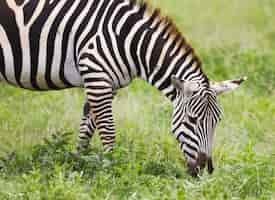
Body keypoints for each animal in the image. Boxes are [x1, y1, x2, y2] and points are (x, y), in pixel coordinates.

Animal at [0, 0, 247, 176]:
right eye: (192, 120)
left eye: (217, 121)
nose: (206, 170)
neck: (129, 43)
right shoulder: (97, 76)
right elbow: (108, 130)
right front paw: (112, 170)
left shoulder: (106, 84)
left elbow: (87, 128)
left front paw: (77, 164)